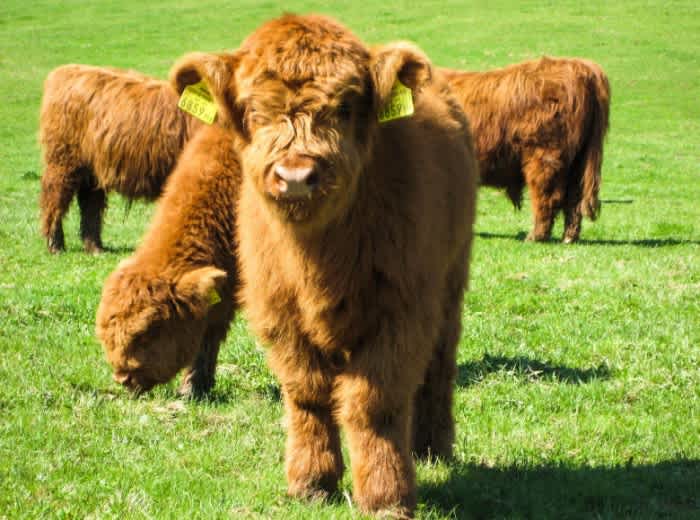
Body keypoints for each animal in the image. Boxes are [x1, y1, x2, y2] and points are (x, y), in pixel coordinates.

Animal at [40, 65, 201, 254]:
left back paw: (95, 247)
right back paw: (56, 245)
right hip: (63, 161)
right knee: (55, 196)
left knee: (90, 203)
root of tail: (65, 70)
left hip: (91, 168)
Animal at [172, 15, 482, 516]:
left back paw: (430, 447)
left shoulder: (401, 312)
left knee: (439, 363)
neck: (318, 260)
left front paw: (386, 495)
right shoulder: (279, 315)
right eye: (254, 111)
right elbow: (307, 392)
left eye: (345, 107)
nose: (296, 176)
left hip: (450, 282)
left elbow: (374, 403)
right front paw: (312, 481)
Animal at [446, 57, 608, 242]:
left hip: (545, 156)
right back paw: (568, 237)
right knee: (573, 199)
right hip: (578, 161)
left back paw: (535, 236)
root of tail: (579, 66)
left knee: (548, 197)